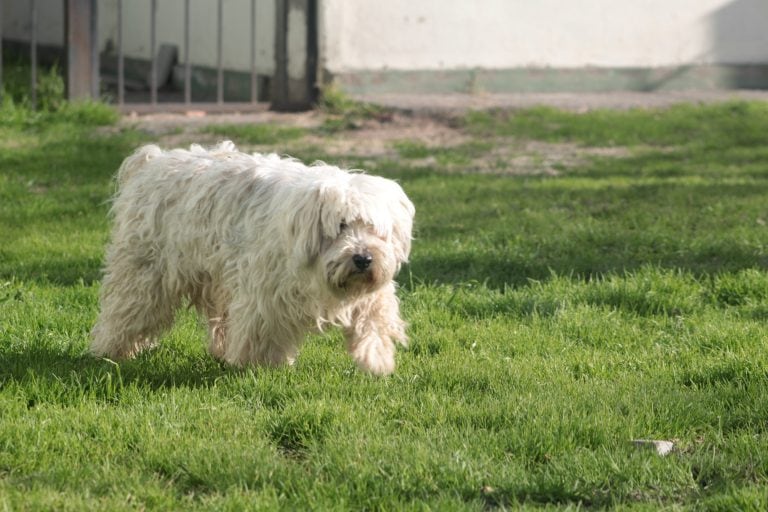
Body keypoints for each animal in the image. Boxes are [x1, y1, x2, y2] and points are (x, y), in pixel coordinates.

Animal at [90, 142, 414, 374]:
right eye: (342, 225)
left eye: (374, 228)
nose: (363, 259)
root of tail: (152, 160)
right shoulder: (266, 294)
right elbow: (263, 329)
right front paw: (261, 366)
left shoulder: (371, 294)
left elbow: (374, 319)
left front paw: (377, 359)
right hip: (145, 273)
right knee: (126, 311)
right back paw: (110, 350)